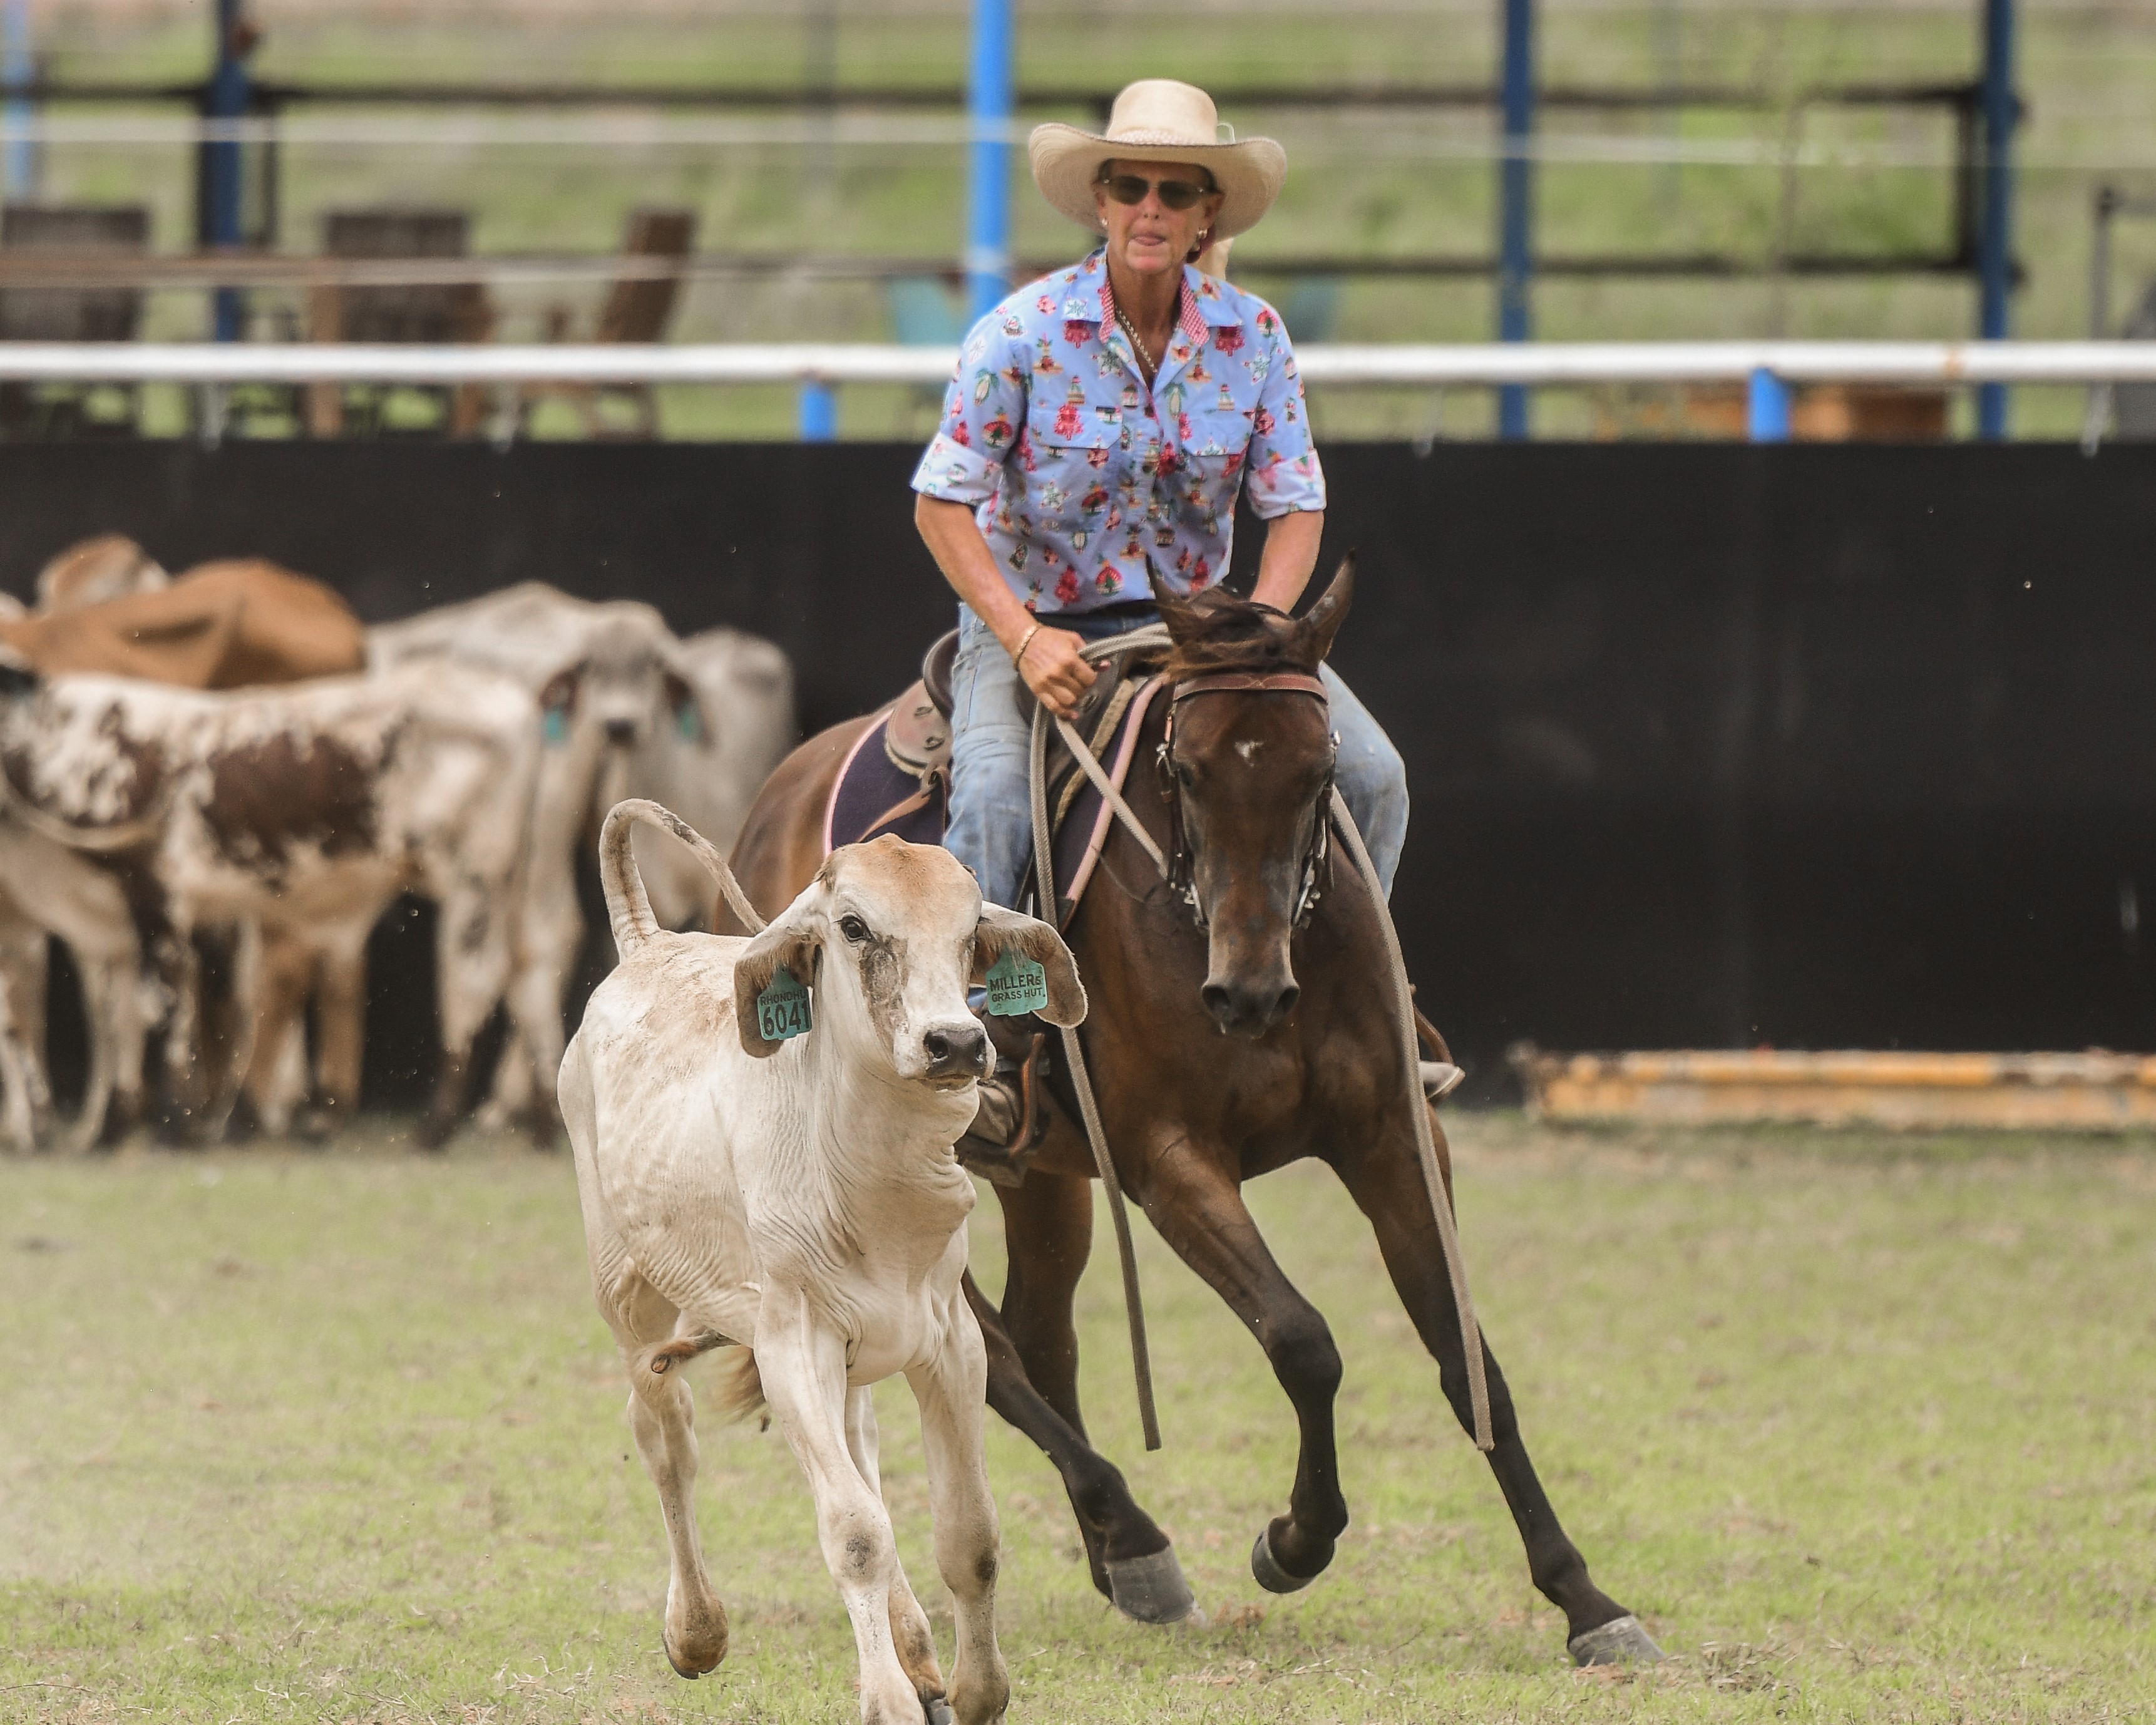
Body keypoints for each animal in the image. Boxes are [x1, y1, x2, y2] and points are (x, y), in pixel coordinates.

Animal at [0, 651, 540, 1148]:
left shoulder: (154, 895)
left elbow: (164, 1004)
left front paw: (174, 1124)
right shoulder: (120, 923)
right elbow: (120, 1012)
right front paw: (118, 1125)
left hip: (475, 877)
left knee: (471, 980)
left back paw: (435, 1126)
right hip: (506, 885)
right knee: (520, 967)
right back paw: (541, 1121)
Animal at [565, 801, 1082, 1723]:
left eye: (970, 929)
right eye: (853, 926)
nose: (955, 1042)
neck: (868, 1178)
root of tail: (644, 940)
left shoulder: (949, 1343)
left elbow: (970, 1533)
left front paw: (975, 1688)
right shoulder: (791, 1343)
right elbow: (857, 1532)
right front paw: (887, 1699)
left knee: (857, 1447)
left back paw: (918, 1651)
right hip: (628, 1294)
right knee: (664, 1431)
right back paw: (697, 1629)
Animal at [722, 561, 1662, 1667]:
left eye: (1320, 771)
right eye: (1187, 768)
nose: (1247, 993)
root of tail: (773, 801)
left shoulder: (1395, 1136)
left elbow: (1466, 1357)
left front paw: (1586, 1597)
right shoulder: (1169, 1160)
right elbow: (1303, 1339)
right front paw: (1294, 1541)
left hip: (1043, 1176)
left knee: (1035, 1333)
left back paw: (1116, 1553)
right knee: (984, 1345)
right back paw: (1133, 1534)